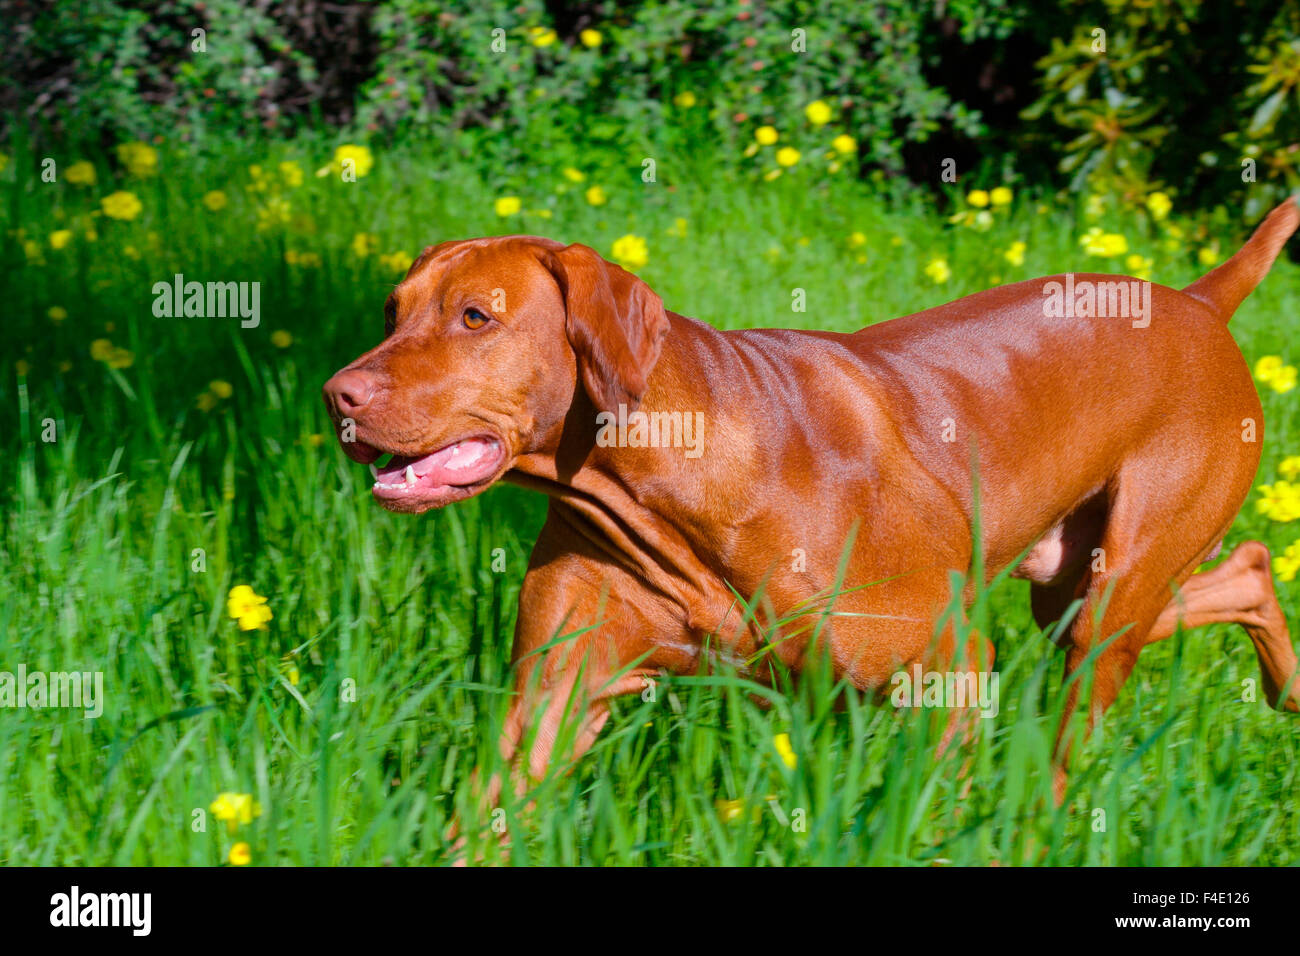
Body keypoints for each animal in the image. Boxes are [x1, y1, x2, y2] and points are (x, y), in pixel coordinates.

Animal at [322, 197, 1300, 806]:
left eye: (476, 317)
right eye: (393, 310)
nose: (339, 395)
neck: (664, 493)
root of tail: (1196, 302)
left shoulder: (949, 664)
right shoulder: (556, 695)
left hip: (1113, 590)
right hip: (1073, 587)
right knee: (1245, 569)